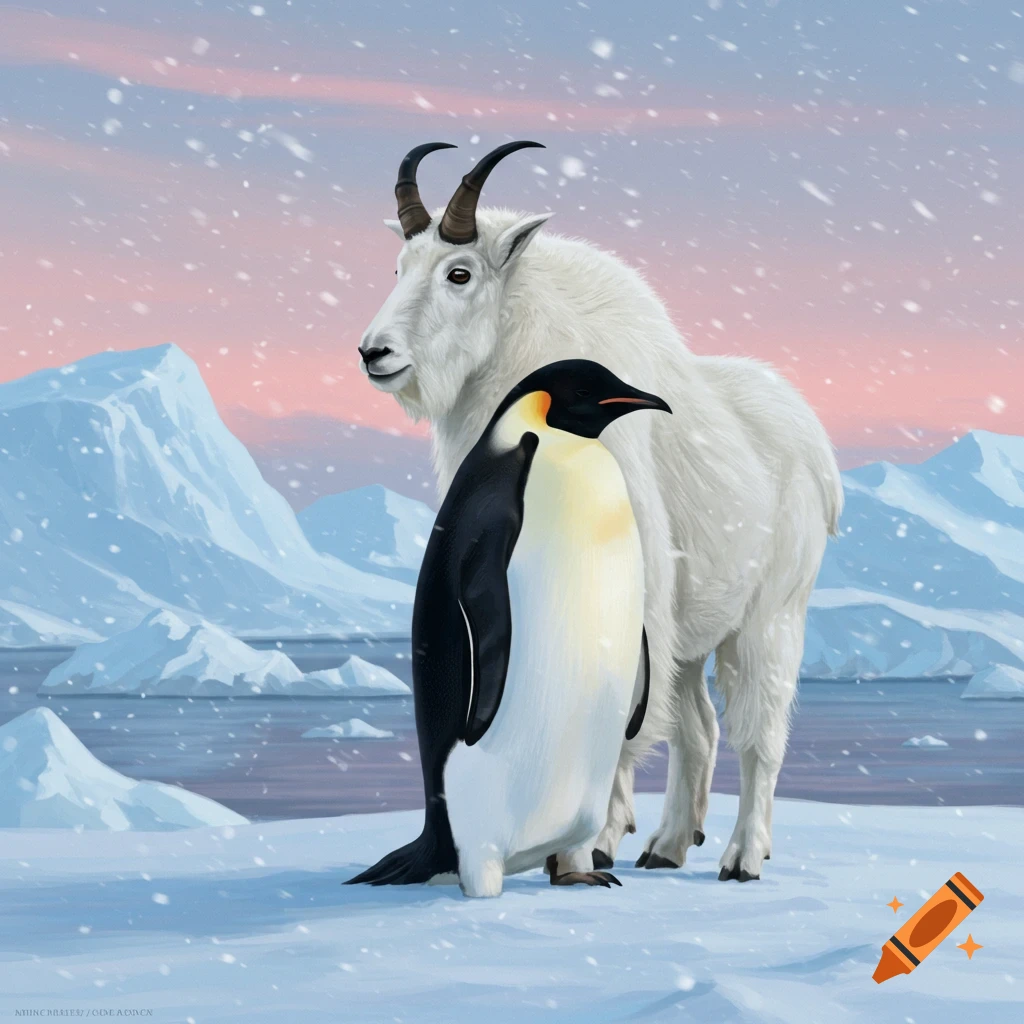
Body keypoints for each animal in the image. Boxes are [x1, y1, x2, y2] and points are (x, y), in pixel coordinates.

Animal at [358, 141, 843, 882]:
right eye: (398, 267)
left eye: (459, 272)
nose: (375, 353)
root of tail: (817, 446)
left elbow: (623, 727)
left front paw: (591, 842)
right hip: (694, 633)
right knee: (698, 726)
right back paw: (667, 845)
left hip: (769, 616)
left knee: (758, 733)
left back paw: (741, 855)